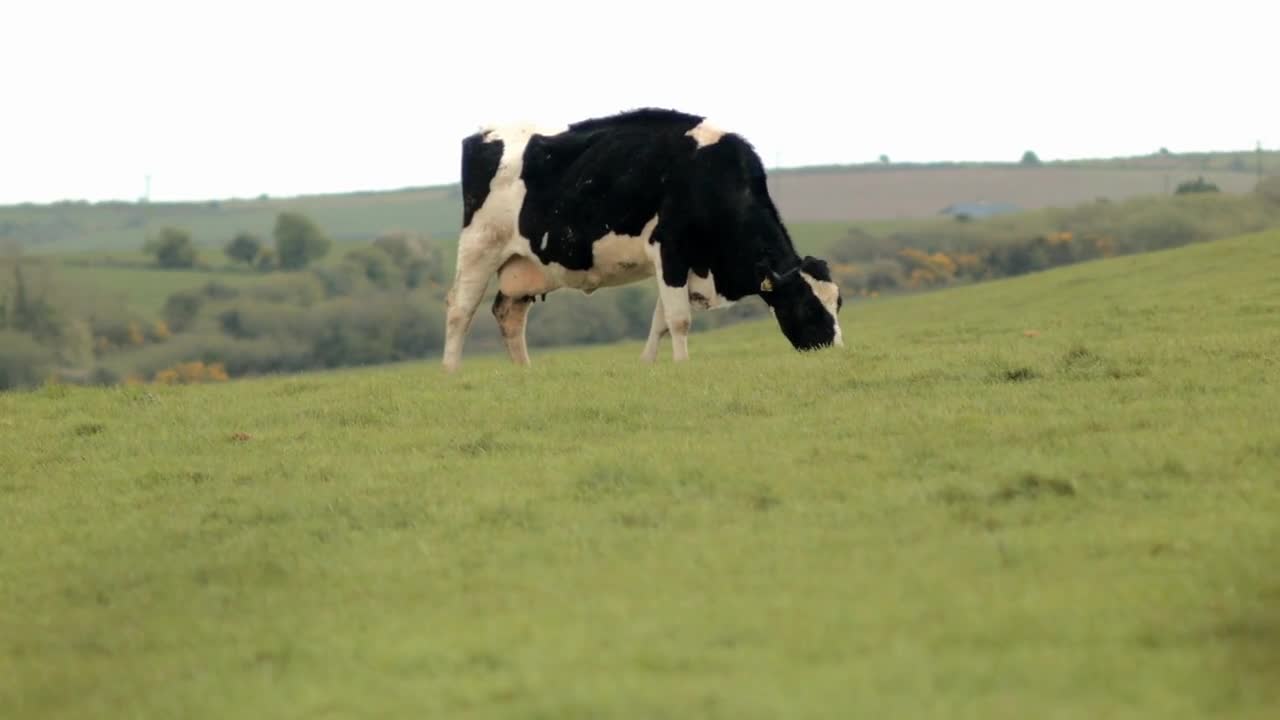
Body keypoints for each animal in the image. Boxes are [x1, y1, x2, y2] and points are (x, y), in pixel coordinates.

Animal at [440, 106, 839, 368]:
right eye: (807, 306)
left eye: (838, 302)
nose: (833, 349)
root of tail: (483, 134)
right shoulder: (671, 249)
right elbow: (678, 319)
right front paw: (682, 365)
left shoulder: (682, 261)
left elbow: (661, 320)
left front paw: (648, 364)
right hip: (480, 245)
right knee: (460, 309)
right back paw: (451, 372)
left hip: (523, 264)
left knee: (508, 313)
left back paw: (525, 373)